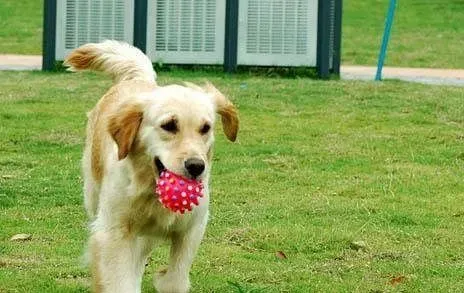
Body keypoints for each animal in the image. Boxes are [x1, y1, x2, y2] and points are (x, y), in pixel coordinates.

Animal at [63, 41, 239, 292]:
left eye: (205, 128)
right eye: (169, 125)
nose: (196, 166)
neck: (150, 187)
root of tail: (136, 79)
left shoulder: (193, 226)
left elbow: (175, 278)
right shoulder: (113, 232)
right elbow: (120, 281)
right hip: (93, 193)